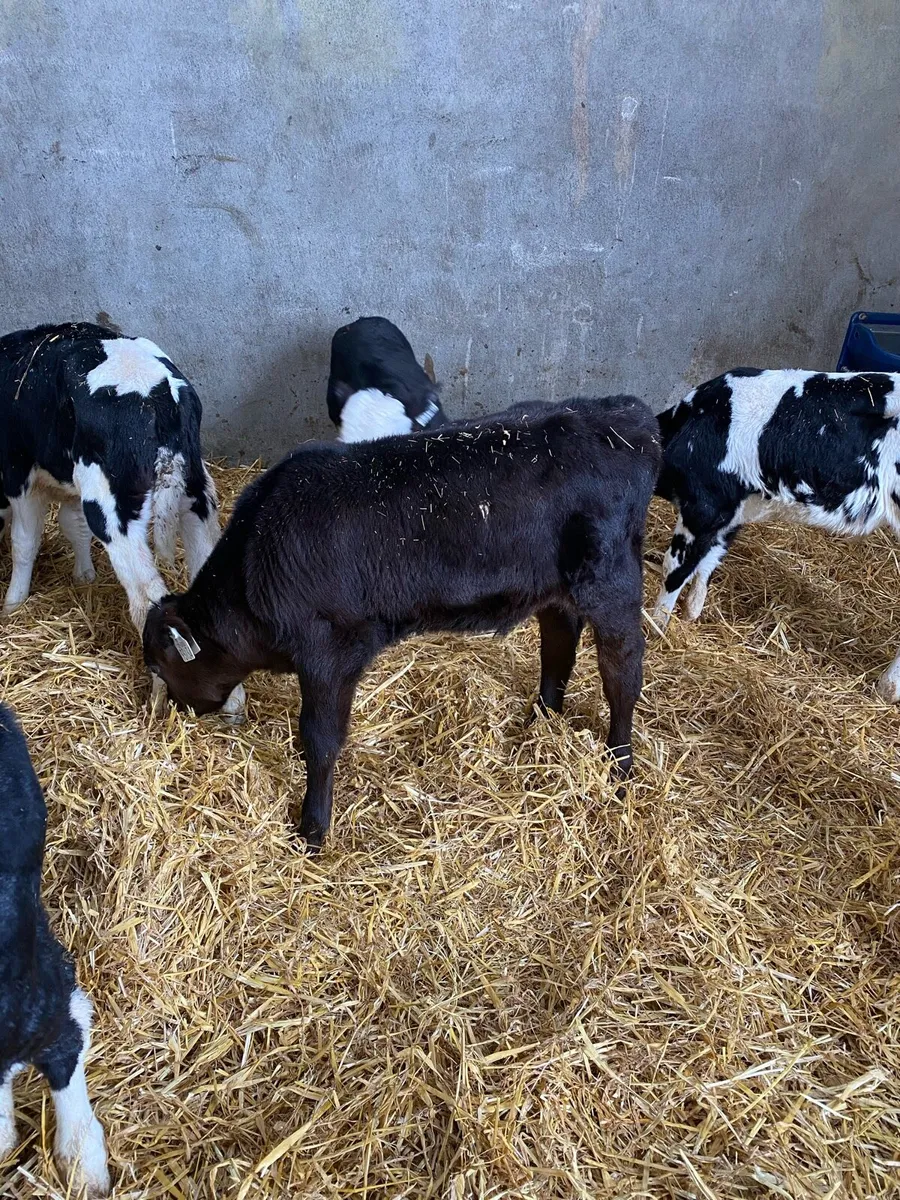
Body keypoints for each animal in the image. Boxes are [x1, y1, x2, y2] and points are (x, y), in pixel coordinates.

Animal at [142, 395, 661, 850]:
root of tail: (625, 415)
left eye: (162, 668)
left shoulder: (329, 651)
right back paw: (541, 720)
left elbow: (319, 738)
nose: (177, 712)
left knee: (622, 672)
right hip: (554, 585)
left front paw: (312, 830)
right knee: (558, 642)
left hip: (610, 581)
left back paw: (619, 767)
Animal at [653, 368, 900, 701]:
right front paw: (692, 612)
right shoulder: (732, 512)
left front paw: (655, 624)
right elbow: (709, 561)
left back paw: (887, 688)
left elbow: (676, 568)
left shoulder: (704, 505)